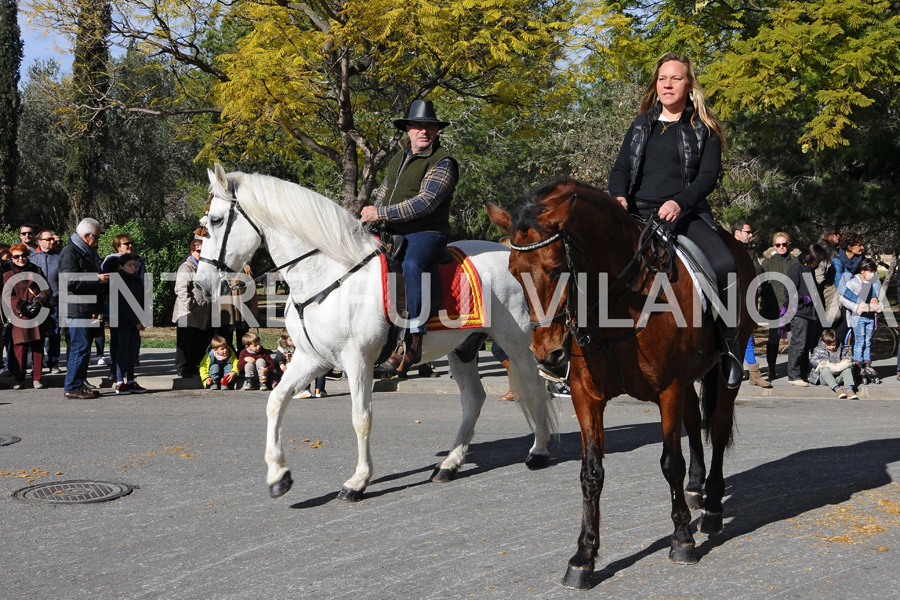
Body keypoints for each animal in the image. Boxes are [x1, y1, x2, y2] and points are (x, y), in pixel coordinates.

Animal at [195, 164, 556, 502]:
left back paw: (538, 451)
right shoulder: (312, 359)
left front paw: (358, 481)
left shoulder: (358, 361)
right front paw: (278, 475)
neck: (329, 274)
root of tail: (510, 254)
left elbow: (361, 417)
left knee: (536, 387)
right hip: (463, 349)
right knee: (473, 399)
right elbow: (275, 401)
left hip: (516, 342)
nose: (199, 286)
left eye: (215, 220)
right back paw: (450, 464)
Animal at [488, 176, 756, 588]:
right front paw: (584, 556)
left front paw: (682, 539)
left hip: (727, 366)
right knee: (695, 423)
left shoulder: (668, 389)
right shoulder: (587, 396)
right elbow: (591, 473)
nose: (548, 354)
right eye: (515, 271)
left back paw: (711, 506)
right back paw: (696, 490)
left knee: (719, 426)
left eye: (556, 269)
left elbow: (670, 462)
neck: (620, 300)